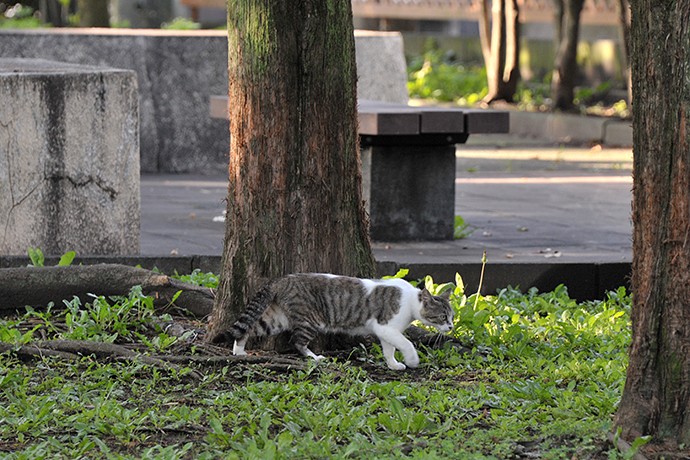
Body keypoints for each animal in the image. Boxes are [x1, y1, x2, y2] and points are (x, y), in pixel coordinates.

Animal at [214, 274, 452, 370]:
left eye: (451, 316)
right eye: (443, 316)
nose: (450, 327)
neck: (411, 299)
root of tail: (282, 279)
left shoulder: (387, 331)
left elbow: (389, 349)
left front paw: (393, 364)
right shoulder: (385, 326)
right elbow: (406, 343)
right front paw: (412, 360)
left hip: (276, 319)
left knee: (250, 328)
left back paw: (238, 350)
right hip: (311, 319)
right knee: (296, 341)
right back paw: (314, 357)